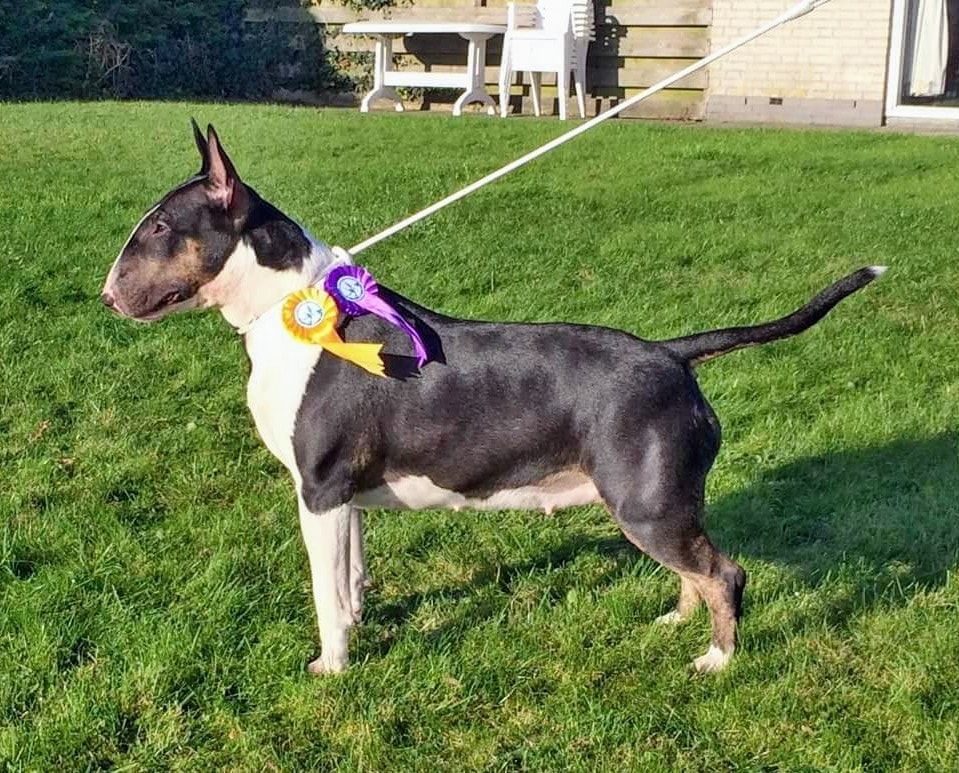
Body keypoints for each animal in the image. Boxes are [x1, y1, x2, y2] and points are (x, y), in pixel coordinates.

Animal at [103, 123, 884, 672]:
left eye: (161, 227)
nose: (107, 297)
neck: (287, 308)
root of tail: (672, 354)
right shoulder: (345, 493)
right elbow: (351, 576)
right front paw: (360, 625)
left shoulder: (319, 488)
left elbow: (325, 591)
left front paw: (331, 666)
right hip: (661, 502)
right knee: (697, 567)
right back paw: (674, 620)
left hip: (646, 503)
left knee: (725, 571)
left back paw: (716, 659)